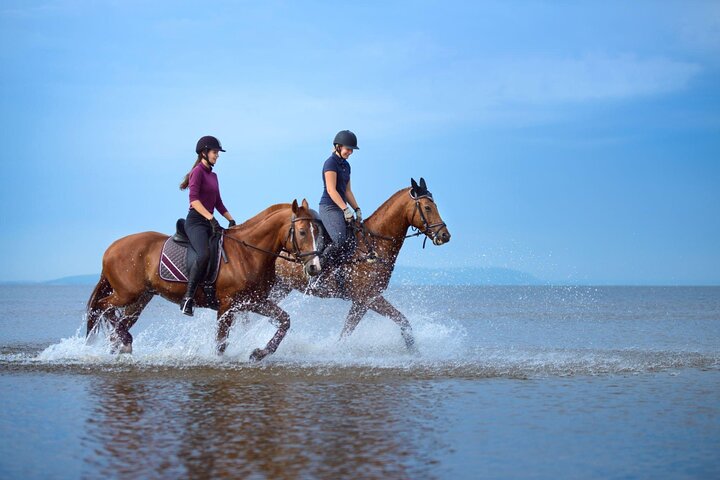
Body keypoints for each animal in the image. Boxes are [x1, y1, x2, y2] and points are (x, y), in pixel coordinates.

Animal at [86, 199, 322, 361]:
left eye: (317, 232)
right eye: (302, 232)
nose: (314, 267)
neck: (248, 253)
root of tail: (111, 248)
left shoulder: (253, 301)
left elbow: (285, 320)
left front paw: (259, 353)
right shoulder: (227, 306)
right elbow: (221, 344)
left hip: (140, 299)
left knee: (117, 319)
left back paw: (120, 343)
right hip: (127, 294)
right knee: (102, 307)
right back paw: (123, 341)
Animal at [273, 178, 450, 350]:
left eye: (435, 206)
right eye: (427, 207)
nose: (445, 235)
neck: (374, 244)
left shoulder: (367, 300)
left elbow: (402, 322)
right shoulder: (365, 299)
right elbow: (347, 333)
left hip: (281, 287)